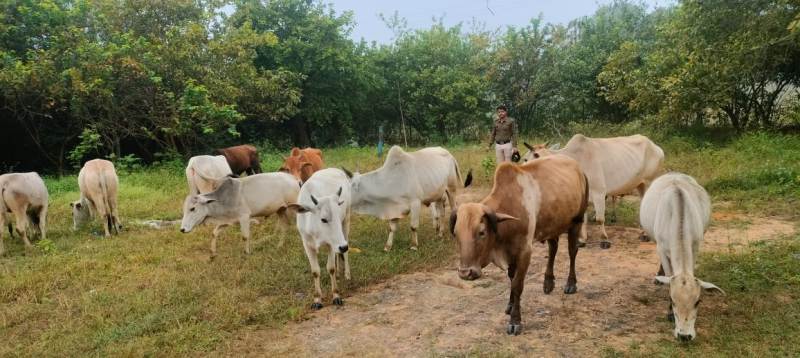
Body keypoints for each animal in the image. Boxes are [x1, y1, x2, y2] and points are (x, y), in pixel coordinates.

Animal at [288, 169, 350, 310]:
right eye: (323, 219)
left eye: (337, 216)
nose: (343, 246)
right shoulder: (307, 244)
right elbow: (315, 271)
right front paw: (317, 299)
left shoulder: (330, 244)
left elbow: (330, 268)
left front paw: (336, 296)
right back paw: (339, 273)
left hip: (346, 221)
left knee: (345, 251)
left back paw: (347, 274)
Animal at [450, 155, 588, 336]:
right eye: (456, 233)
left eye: (481, 232)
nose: (465, 273)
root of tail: (577, 167)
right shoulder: (511, 253)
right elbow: (511, 278)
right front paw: (510, 305)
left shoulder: (524, 252)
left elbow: (517, 285)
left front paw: (515, 320)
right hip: (552, 225)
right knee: (553, 248)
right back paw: (548, 283)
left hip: (576, 221)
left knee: (572, 251)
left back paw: (571, 284)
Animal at [520, 134, 664, 249]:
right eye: (525, 159)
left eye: (538, 156)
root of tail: (656, 147)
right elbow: (584, 219)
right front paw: (582, 240)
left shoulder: (599, 193)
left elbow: (600, 219)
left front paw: (604, 240)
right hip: (640, 184)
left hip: (651, 181)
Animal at [636, 173, 724, 342]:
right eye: (672, 301)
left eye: (698, 302)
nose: (685, 336)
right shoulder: (662, 249)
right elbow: (669, 275)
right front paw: (670, 313)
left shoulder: (695, 246)